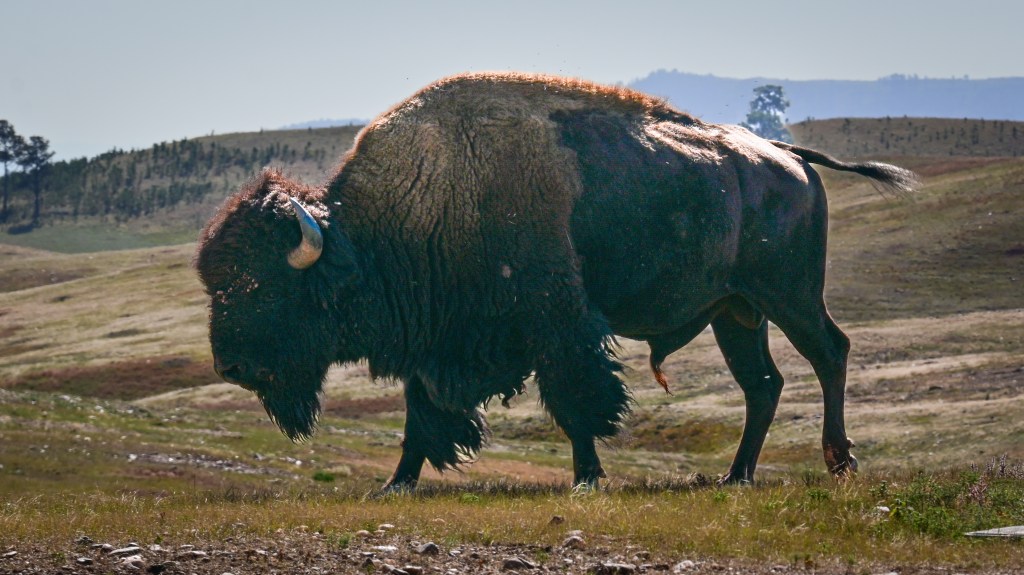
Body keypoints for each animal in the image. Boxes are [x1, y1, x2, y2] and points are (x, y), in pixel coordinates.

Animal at [195, 72, 917, 491]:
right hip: (735, 311)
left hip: (788, 296)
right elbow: (421, 413)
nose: (230, 366)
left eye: (263, 286)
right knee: (763, 384)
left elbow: (576, 401)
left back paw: (839, 461)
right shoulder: (440, 344)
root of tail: (787, 157)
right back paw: (734, 476)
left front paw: (588, 479)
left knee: (829, 353)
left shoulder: (557, 324)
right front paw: (396, 483)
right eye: (215, 282)